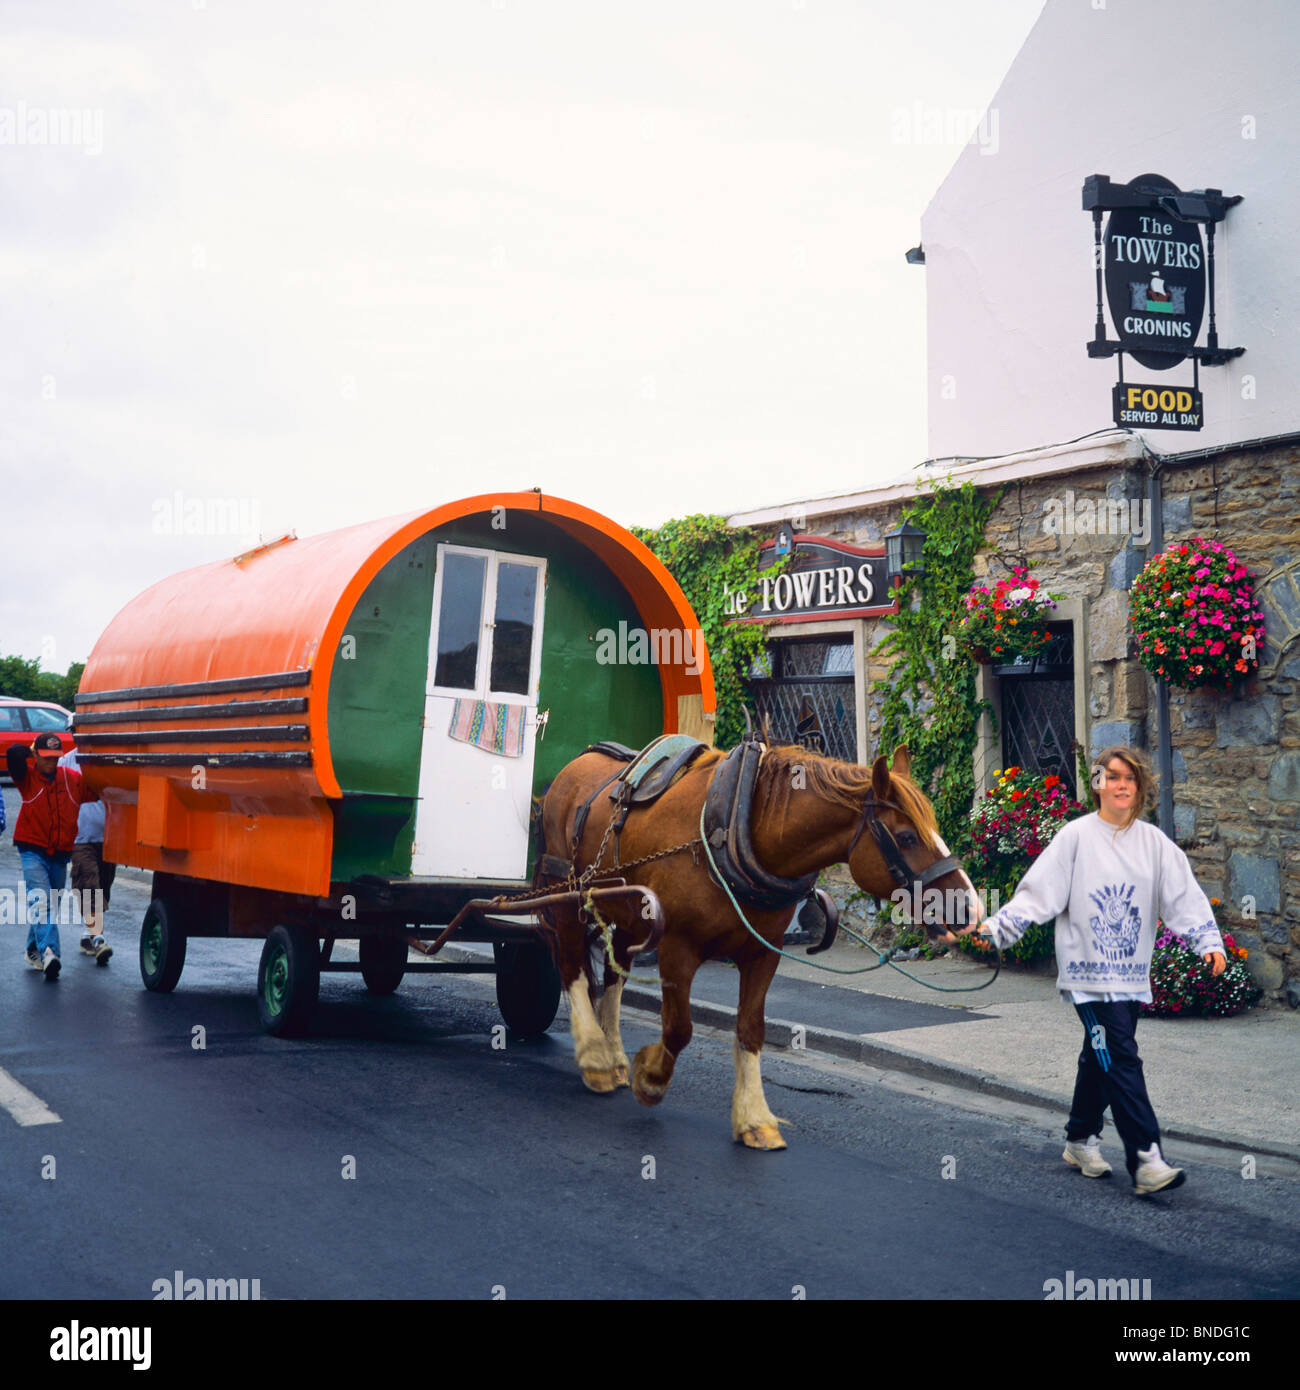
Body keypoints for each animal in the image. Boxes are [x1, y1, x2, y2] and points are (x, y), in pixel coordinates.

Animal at [533, 739, 978, 1150]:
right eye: (906, 837)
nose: (968, 906)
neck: (735, 828)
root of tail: (574, 767)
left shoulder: (762, 952)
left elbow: (750, 1029)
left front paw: (754, 1119)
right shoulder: (678, 946)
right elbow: (678, 1028)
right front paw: (652, 1079)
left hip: (629, 913)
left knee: (613, 976)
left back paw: (613, 1055)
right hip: (566, 897)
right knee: (572, 968)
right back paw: (595, 1058)